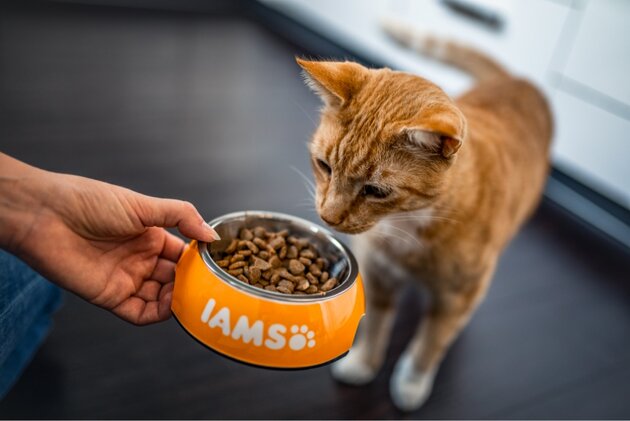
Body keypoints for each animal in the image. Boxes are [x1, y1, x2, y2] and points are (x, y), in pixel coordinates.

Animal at [298, 22, 552, 410]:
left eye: (376, 191)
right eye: (324, 166)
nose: (329, 217)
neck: (406, 225)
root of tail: (519, 80)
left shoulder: (459, 296)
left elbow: (431, 343)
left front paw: (411, 383)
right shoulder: (379, 272)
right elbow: (375, 325)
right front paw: (362, 363)